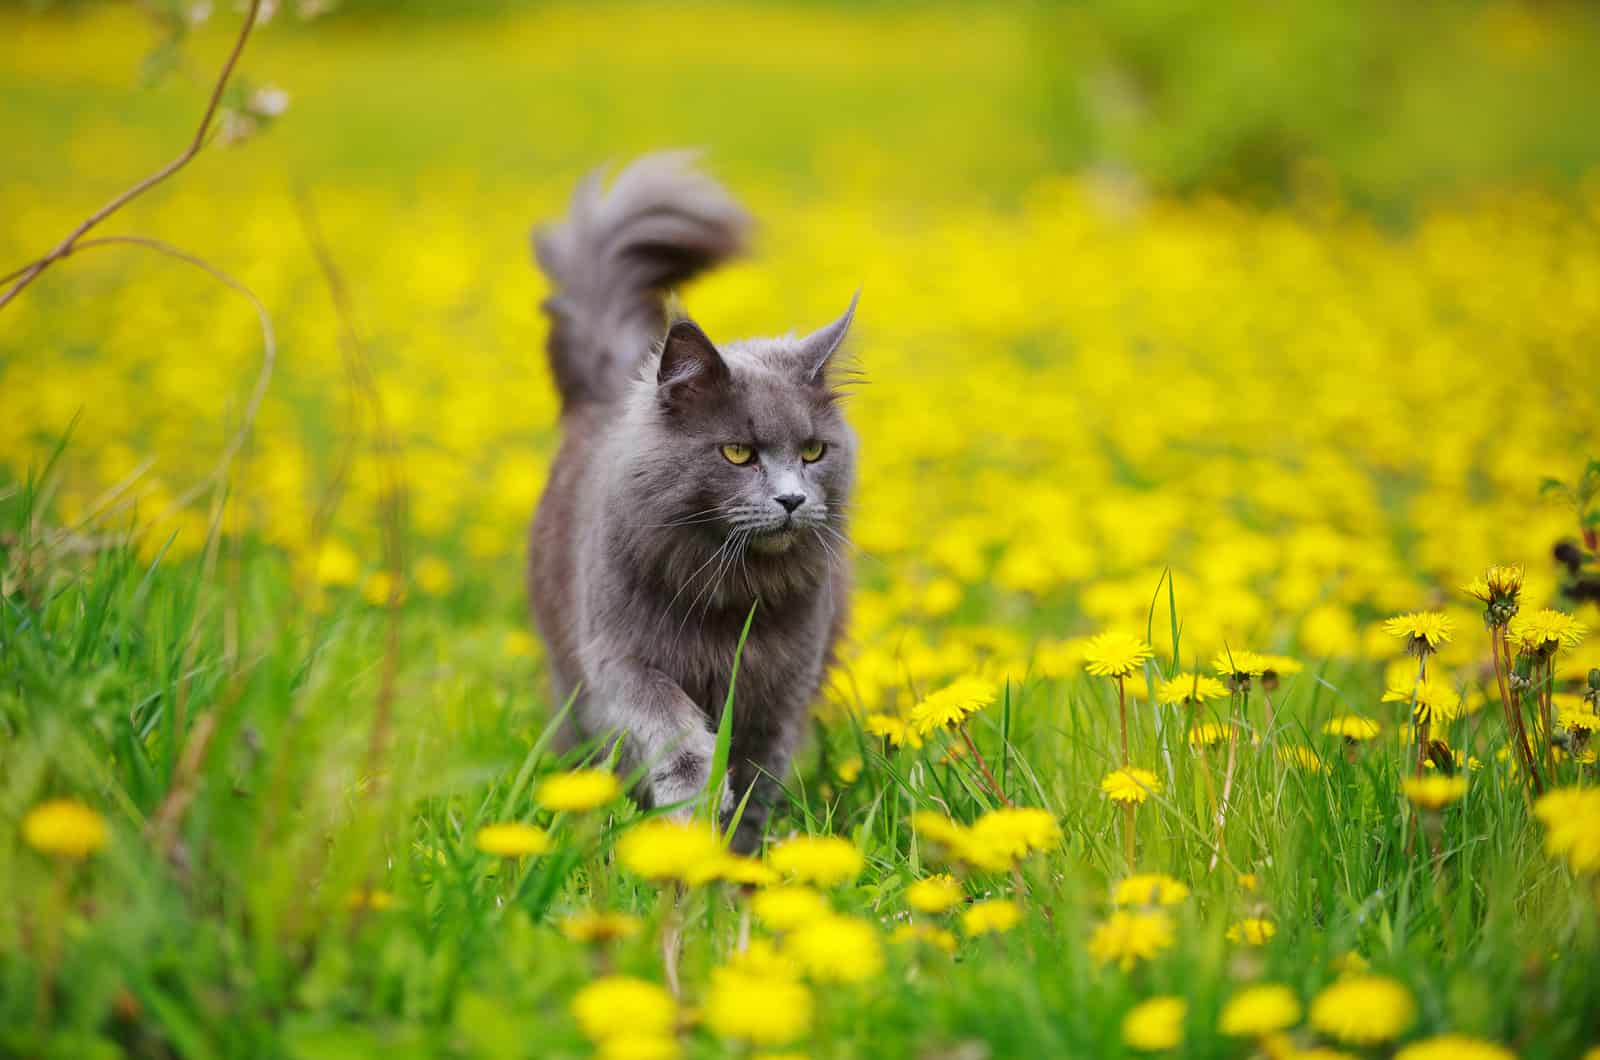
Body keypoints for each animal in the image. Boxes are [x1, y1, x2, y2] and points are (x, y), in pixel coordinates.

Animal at [524, 153, 857, 858]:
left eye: (813, 451)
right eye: (737, 453)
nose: (792, 499)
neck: (728, 598)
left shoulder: (781, 690)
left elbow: (759, 776)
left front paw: (734, 857)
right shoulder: (619, 658)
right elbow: (670, 723)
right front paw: (692, 799)